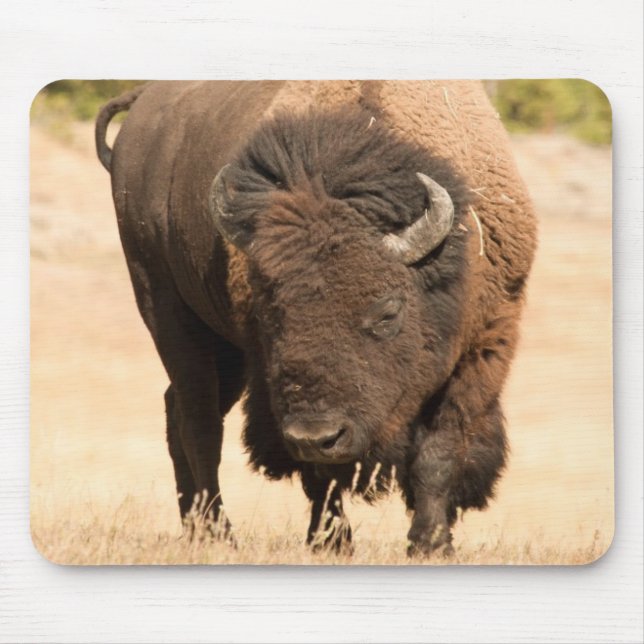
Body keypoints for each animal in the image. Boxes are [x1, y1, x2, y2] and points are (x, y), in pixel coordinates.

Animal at [96, 81, 537, 556]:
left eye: (387, 312)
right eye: (271, 312)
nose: (317, 434)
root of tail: (142, 103)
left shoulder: (483, 348)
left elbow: (439, 452)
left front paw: (431, 544)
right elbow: (319, 474)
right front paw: (333, 542)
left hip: (224, 353)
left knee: (178, 410)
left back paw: (196, 529)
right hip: (167, 311)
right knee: (200, 423)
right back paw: (219, 533)